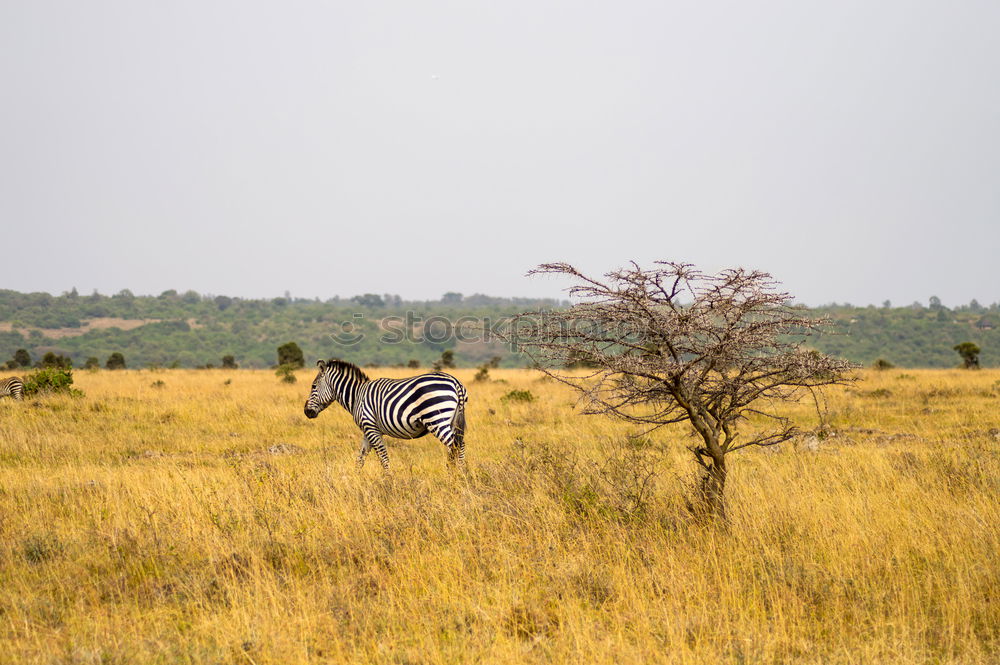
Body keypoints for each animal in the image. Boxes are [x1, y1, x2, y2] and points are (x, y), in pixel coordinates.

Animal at [300, 356, 468, 470]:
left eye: (313, 386)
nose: (306, 412)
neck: (357, 395)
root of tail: (455, 382)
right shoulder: (368, 431)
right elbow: (360, 458)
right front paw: (356, 478)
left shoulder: (371, 428)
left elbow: (383, 458)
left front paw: (388, 482)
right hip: (452, 421)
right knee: (460, 445)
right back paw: (462, 475)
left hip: (436, 419)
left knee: (454, 446)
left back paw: (456, 475)